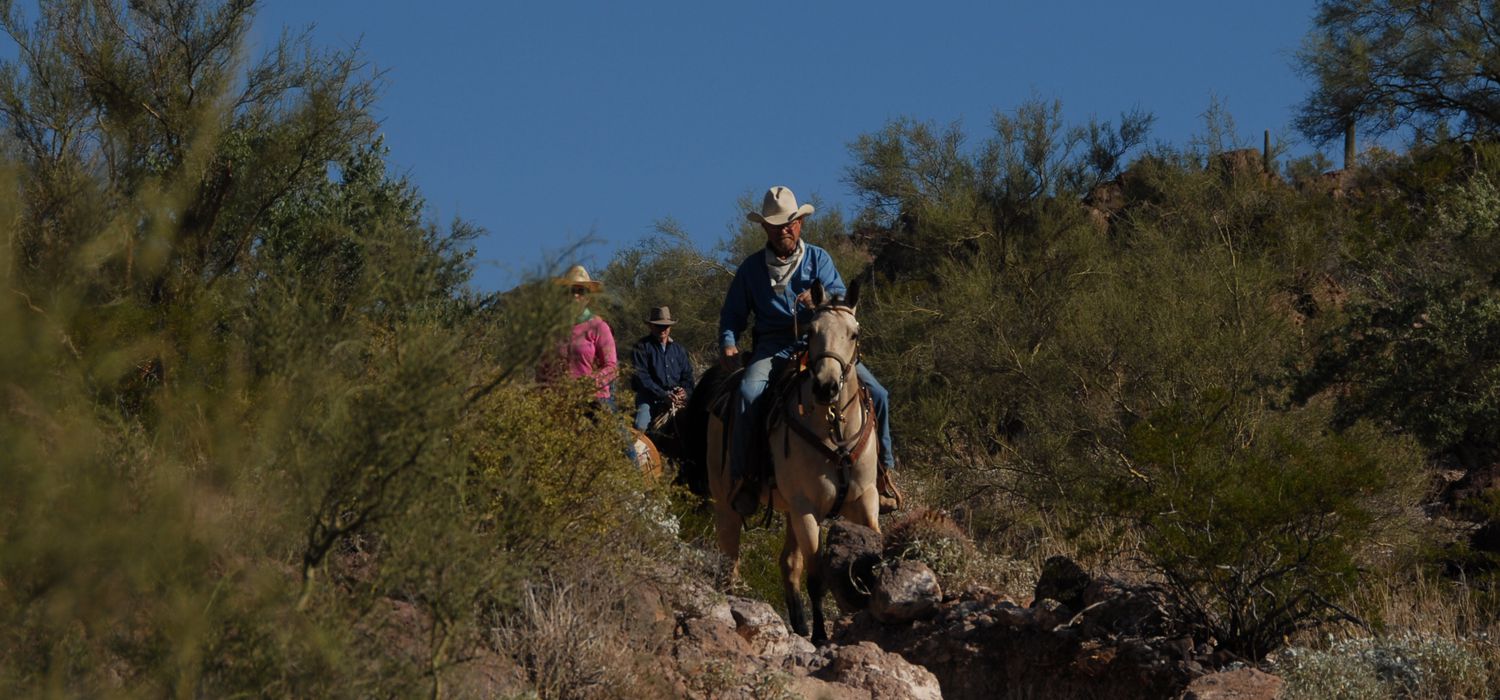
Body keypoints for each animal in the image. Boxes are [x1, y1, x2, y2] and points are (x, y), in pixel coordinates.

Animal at [696, 281, 882, 644]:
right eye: (810, 331)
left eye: (853, 333)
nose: (826, 387)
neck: (834, 430)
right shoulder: (806, 507)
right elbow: (816, 577)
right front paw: (821, 636)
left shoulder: (865, 498)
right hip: (728, 503)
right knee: (730, 555)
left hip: (788, 510)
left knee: (788, 563)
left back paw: (798, 624)